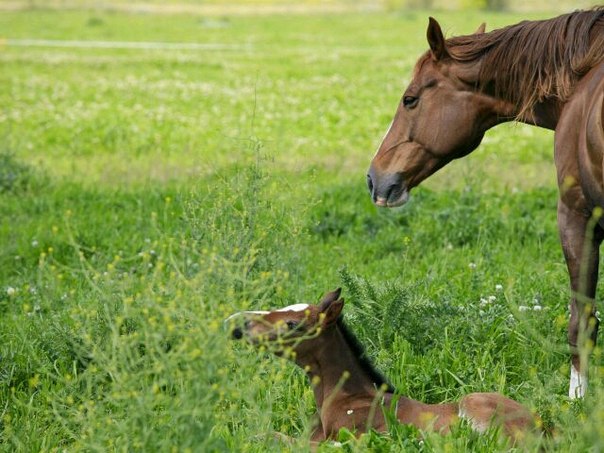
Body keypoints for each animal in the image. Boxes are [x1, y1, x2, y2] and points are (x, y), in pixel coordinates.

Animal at [229, 290, 540, 442]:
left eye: (292, 323)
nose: (237, 325)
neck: (343, 399)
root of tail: (543, 428)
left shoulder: (352, 438)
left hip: (475, 405)